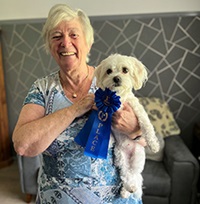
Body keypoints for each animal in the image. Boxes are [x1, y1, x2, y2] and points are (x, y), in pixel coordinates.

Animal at [94, 53, 160, 198]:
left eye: (125, 70)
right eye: (109, 71)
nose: (116, 78)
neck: (118, 98)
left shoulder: (138, 111)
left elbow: (146, 126)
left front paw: (154, 145)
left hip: (137, 159)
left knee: (135, 175)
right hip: (120, 158)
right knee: (126, 175)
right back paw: (126, 190)